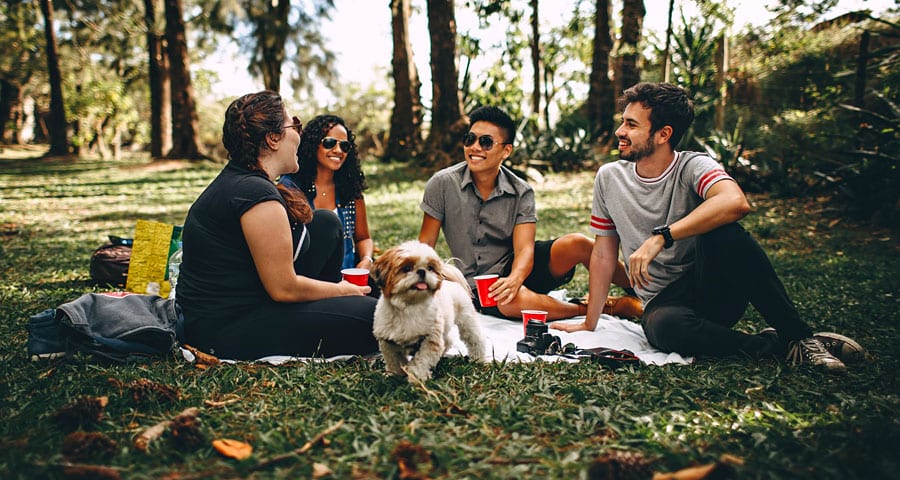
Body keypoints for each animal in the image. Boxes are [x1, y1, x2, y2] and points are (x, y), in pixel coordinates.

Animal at [370, 242, 488, 384]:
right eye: (407, 268)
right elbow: (394, 360)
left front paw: (416, 377)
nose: (422, 271)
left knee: (475, 339)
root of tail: (451, 281)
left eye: (430, 268)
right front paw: (395, 375)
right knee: (447, 340)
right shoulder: (388, 342)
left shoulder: (430, 339)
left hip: (467, 320)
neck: (409, 307)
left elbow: (422, 360)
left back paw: (478, 358)